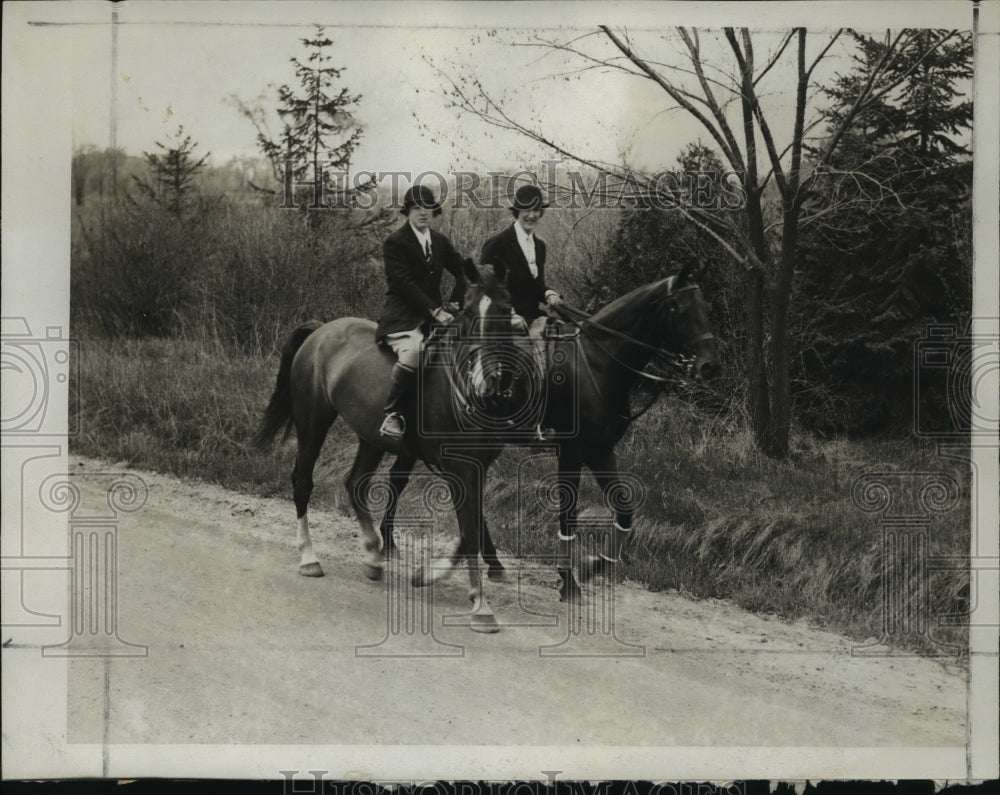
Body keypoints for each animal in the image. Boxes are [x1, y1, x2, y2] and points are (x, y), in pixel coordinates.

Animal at [254, 276, 528, 636]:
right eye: (468, 313)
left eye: (505, 310)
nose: (488, 378)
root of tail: (320, 330)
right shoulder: (458, 468)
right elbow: (469, 533)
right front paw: (481, 607)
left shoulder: (477, 468)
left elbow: (474, 526)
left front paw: (430, 575)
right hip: (314, 422)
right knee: (303, 483)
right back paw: (310, 559)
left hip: (371, 437)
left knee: (355, 481)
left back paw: (372, 556)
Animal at [376, 262, 720, 604]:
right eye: (680, 310)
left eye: (707, 308)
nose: (709, 367)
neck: (596, 362)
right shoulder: (573, 452)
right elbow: (569, 515)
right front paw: (569, 582)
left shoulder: (601, 450)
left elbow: (625, 510)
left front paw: (593, 566)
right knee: (402, 479)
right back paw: (389, 543)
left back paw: (487, 562)